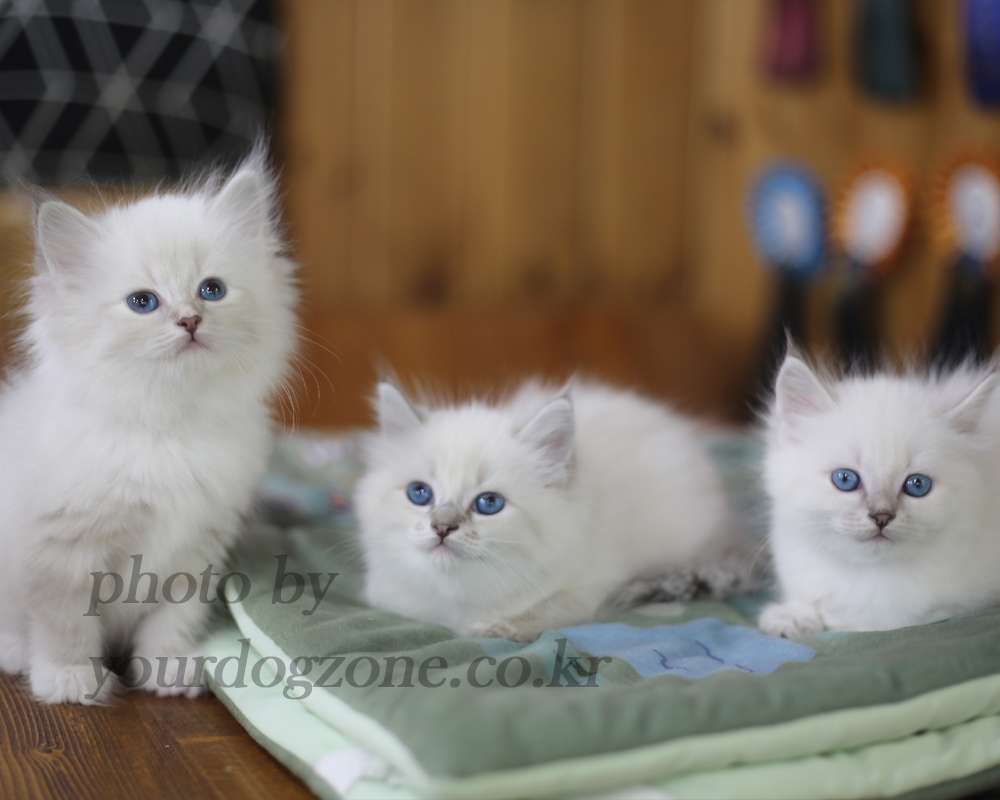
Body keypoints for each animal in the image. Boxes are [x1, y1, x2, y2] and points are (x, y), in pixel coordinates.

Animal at [0, 148, 298, 703]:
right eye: (143, 302)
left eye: (211, 290)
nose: (190, 320)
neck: (168, 427)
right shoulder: (61, 552)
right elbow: (64, 625)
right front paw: (70, 681)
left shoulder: (195, 551)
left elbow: (171, 623)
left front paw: (168, 671)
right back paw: (12, 654)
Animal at [355, 379, 750, 641]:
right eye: (419, 494)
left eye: (489, 503)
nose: (441, 527)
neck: (459, 597)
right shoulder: (389, 596)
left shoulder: (592, 587)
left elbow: (543, 612)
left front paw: (491, 628)